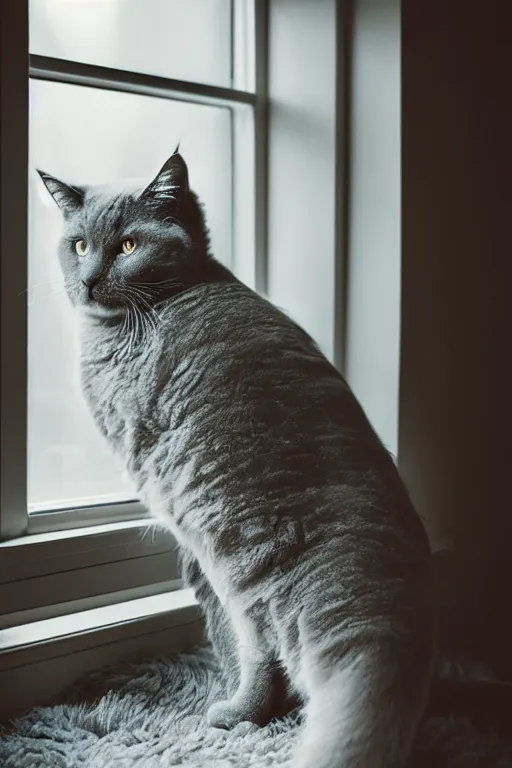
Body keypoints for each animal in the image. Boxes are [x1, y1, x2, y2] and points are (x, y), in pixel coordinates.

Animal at [38, 150, 434, 768]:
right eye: (78, 245)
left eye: (127, 245)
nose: (89, 278)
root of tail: (377, 610)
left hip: (232, 556)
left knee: (262, 654)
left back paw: (232, 712)